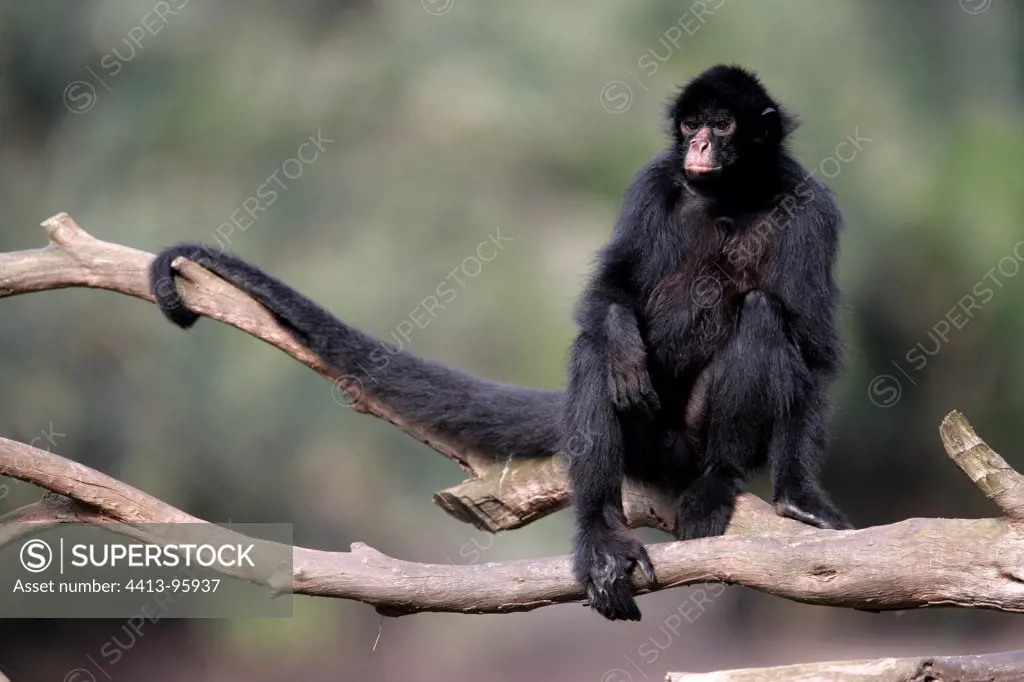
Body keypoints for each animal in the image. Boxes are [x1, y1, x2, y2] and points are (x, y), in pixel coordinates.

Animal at [146, 63, 847, 622]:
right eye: (691, 125)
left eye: (723, 126)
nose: (699, 142)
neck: (728, 194)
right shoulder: (654, 180)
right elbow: (609, 294)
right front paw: (622, 339)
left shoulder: (812, 204)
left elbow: (814, 349)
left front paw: (799, 496)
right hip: (649, 440)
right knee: (594, 349)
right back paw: (601, 535)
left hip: (686, 440)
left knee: (761, 314)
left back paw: (713, 481)